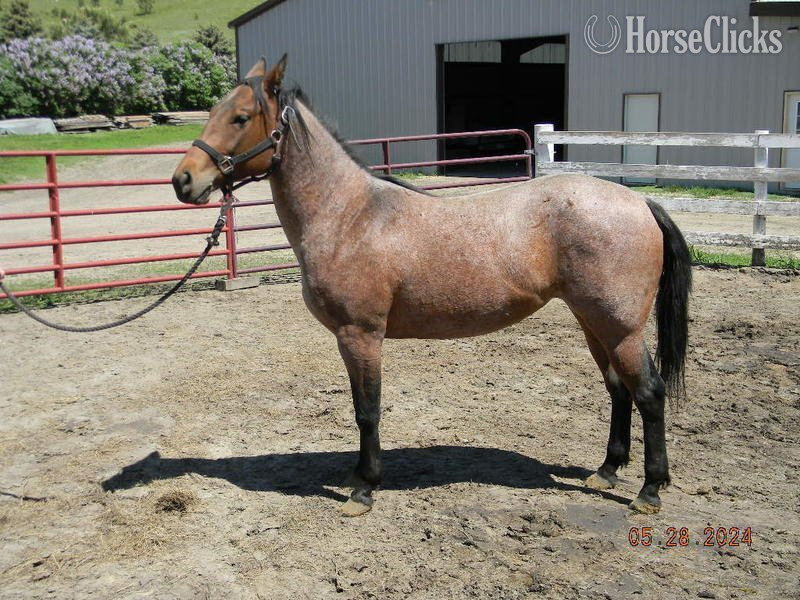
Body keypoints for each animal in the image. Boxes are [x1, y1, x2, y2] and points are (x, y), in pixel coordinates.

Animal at [172, 56, 691, 517]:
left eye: (241, 117)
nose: (183, 180)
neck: (348, 216)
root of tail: (640, 203)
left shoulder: (361, 335)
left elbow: (367, 410)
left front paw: (364, 489)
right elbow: (361, 408)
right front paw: (357, 477)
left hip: (620, 328)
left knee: (648, 393)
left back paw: (649, 491)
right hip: (592, 321)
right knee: (618, 389)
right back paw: (606, 471)